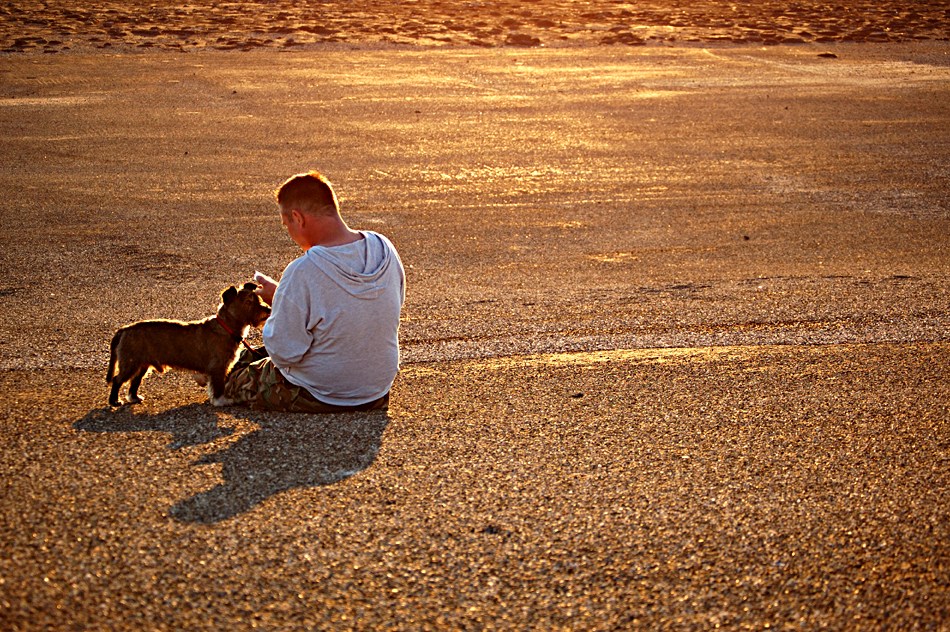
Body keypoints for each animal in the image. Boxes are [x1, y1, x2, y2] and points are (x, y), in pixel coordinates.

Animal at [108, 284, 272, 408]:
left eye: (258, 299)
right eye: (248, 302)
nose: (268, 309)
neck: (226, 327)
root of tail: (124, 330)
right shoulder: (217, 368)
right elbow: (218, 387)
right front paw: (221, 401)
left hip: (142, 365)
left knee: (135, 381)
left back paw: (134, 397)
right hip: (131, 364)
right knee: (117, 379)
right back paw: (114, 401)